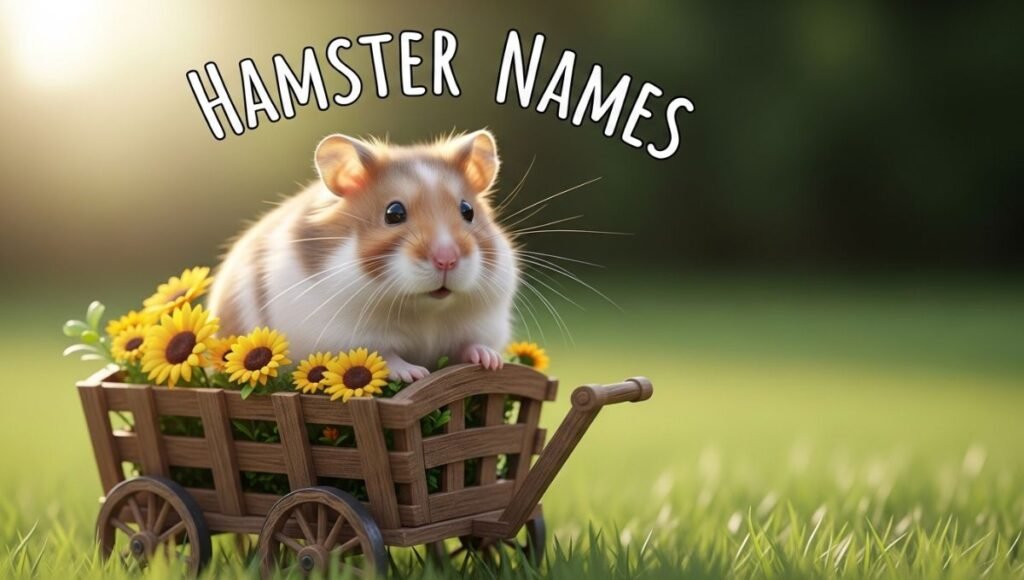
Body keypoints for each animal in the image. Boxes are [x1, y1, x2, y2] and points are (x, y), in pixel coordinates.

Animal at [207, 130, 519, 382]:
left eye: (468, 211)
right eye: (394, 213)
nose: (447, 260)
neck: (423, 308)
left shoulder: (483, 323)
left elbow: (470, 345)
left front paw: (491, 362)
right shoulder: (343, 335)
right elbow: (383, 355)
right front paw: (415, 373)